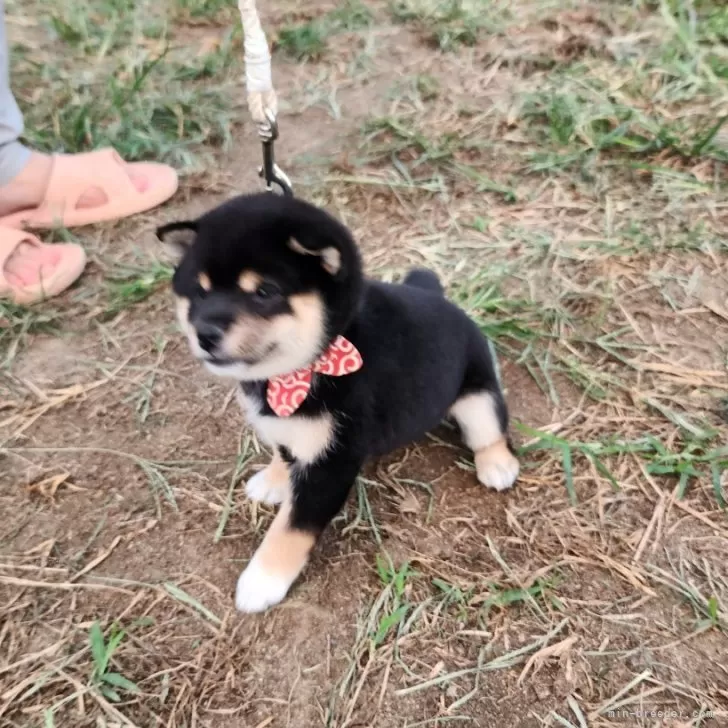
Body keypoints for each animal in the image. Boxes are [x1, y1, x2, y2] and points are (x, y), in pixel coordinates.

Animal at [159, 195, 520, 616]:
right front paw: (274, 480)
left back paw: (497, 465)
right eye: (200, 292)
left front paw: (262, 580)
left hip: (478, 394)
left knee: (489, 430)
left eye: (264, 292)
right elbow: (283, 452)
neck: (303, 366)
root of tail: (439, 297)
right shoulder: (286, 429)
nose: (205, 333)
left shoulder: (333, 462)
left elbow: (292, 527)